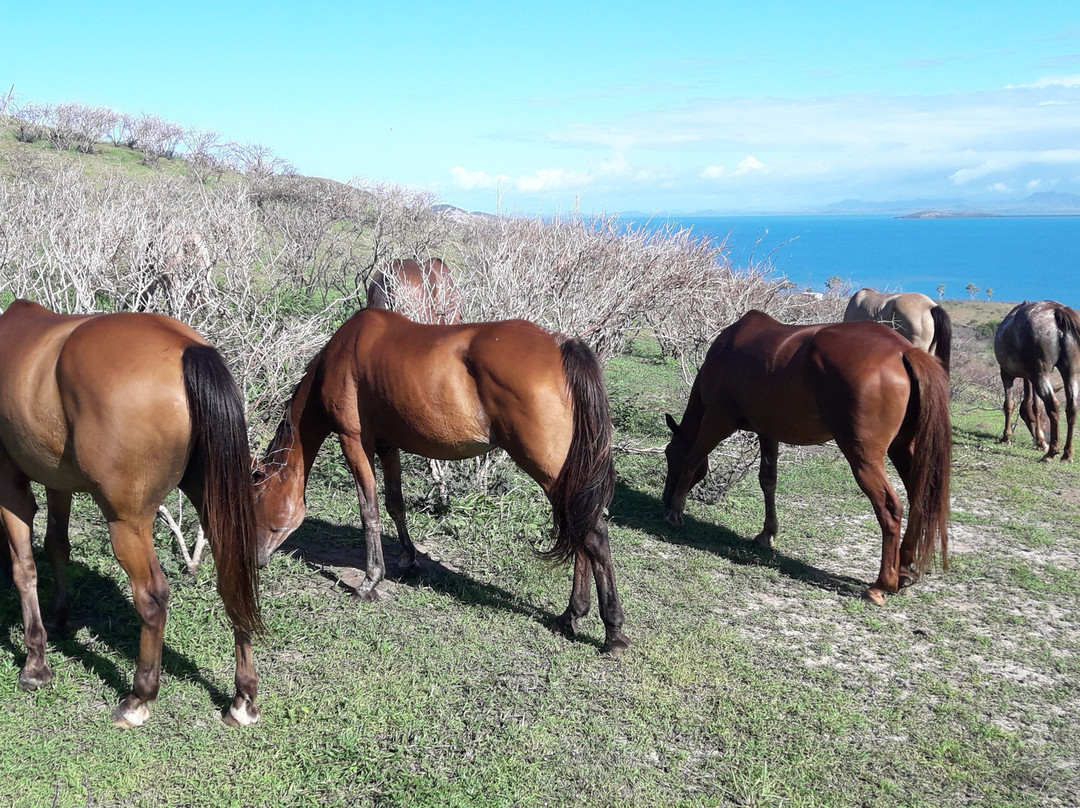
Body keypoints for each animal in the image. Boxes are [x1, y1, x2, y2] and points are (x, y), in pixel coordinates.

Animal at [0, 300, 261, 730]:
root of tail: (187, 349)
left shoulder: (11, 489)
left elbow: (25, 568)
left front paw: (35, 663)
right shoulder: (57, 482)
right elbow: (57, 547)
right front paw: (59, 616)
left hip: (127, 522)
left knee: (152, 597)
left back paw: (138, 698)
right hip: (214, 506)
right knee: (231, 580)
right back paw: (243, 698)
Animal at [251, 308, 630, 656]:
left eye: (256, 501)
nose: (256, 559)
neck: (340, 356)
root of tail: (561, 345)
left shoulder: (354, 440)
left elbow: (368, 509)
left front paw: (370, 581)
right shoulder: (388, 445)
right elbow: (394, 503)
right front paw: (407, 559)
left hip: (549, 471)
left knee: (593, 535)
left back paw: (612, 631)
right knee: (581, 528)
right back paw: (571, 614)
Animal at [660, 313, 950, 604]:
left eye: (669, 455)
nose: (664, 498)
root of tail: (903, 351)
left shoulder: (717, 420)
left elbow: (692, 459)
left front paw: (675, 511)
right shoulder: (768, 432)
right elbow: (768, 481)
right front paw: (767, 533)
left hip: (863, 458)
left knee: (889, 509)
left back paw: (881, 584)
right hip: (903, 450)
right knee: (919, 499)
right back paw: (904, 570)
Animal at [993, 300, 1080, 460]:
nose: (1047, 438)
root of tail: (1056, 311)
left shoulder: (1006, 374)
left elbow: (1009, 404)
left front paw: (1006, 437)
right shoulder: (1032, 378)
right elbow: (1036, 407)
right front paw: (1040, 442)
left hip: (1041, 374)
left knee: (1053, 405)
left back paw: (1052, 452)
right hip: (1070, 371)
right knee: (1072, 405)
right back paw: (1066, 454)